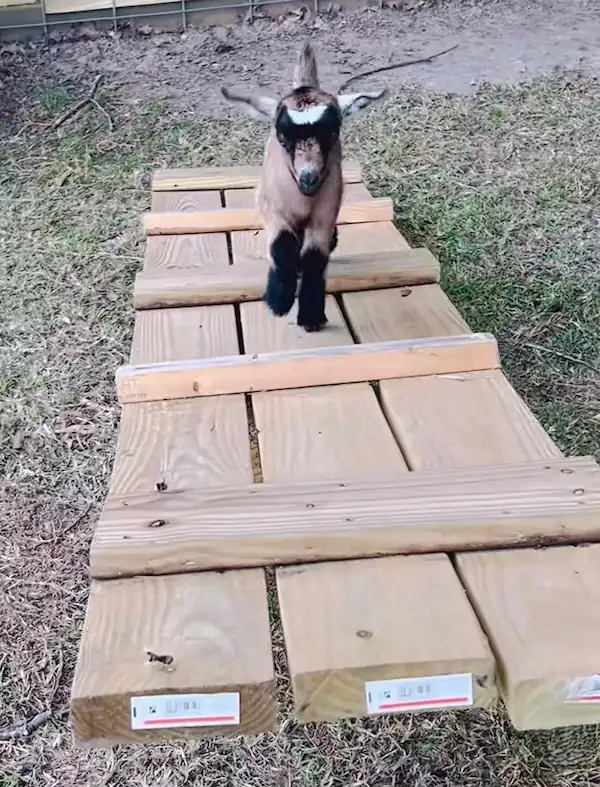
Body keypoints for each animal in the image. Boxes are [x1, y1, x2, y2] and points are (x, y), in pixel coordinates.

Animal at [221, 41, 388, 332]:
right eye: (282, 136)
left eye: (333, 131)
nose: (309, 178)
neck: (303, 200)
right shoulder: (269, 204)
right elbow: (282, 245)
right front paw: (278, 300)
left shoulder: (326, 212)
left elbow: (315, 257)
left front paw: (311, 314)